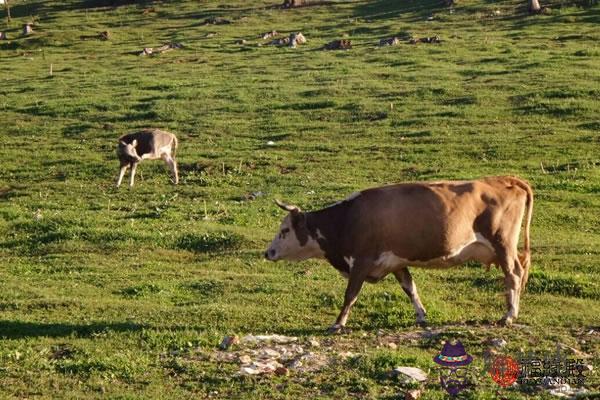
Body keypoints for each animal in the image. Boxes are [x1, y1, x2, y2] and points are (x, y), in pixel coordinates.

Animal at [264, 177, 532, 332]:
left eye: (285, 230)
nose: (268, 252)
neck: (348, 219)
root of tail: (505, 180)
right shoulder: (396, 263)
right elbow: (410, 287)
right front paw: (422, 316)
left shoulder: (361, 262)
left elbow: (350, 295)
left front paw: (338, 323)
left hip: (503, 244)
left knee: (513, 275)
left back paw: (509, 315)